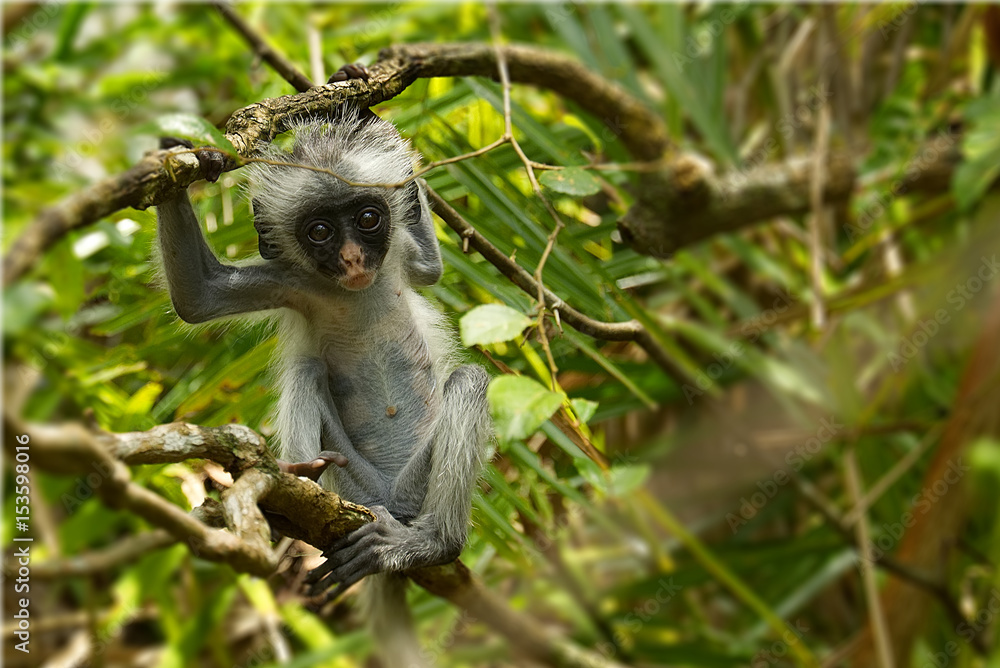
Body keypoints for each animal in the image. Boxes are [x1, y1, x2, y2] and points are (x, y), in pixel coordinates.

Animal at [155, 104, 492, 667]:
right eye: (319, 232)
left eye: (368, 219)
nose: (354, 258)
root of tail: (389, 502)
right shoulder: (295, 281)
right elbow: (198, 298)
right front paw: (175, 156)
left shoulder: (399, 256)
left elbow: (430, 270)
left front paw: (376, 118)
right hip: (353, 483)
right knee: (307, 369)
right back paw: (298, 479)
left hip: (417, 484)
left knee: (468, 380)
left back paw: (433, 543)